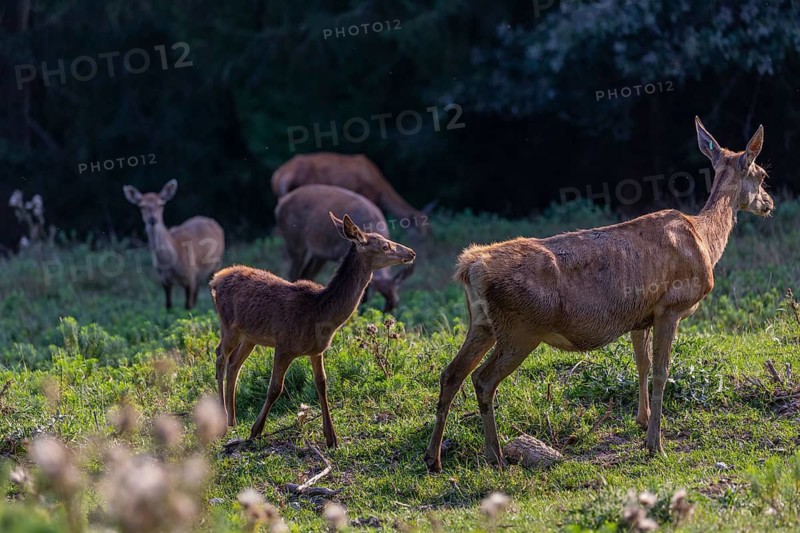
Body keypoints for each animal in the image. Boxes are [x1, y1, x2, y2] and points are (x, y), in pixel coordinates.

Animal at [123, 179, 225, 310]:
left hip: (217, 263)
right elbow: (168, 306)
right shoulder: (164, 280)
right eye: (142, 206)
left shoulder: (190, 274)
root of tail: (211, 220)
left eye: (161, 204)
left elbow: (187, 306)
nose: (152, 219)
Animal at [210, 214, 415, 448]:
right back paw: (223, 422)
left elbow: (322, 385)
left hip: (249, 336)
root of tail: (215, 279)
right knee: (220, 356)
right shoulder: (284, 345)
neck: (320, 315)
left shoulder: (317, 350)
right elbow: (275, 388)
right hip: (228, 325)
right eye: (384, 245)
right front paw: (256, 430)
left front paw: (331, 437)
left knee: (234, 364)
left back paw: (232, 420)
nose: (411, 253)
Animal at [276, 184, 414, 312]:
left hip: (319, 254)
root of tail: (280, 204)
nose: (412, 252)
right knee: (294, 271)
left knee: (307, 272)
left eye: (395, 303)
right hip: (295, 241)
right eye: (385, 247)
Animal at [423, 117, 774, 472]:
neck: (706, 240)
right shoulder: (670, 307)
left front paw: (642, 420)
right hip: (520, 328)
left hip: (482, 323)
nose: (769, 204)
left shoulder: (641, 316)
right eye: (762, 175)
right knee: (482, 379)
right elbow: (661, 372)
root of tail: (471, 266)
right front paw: (655, 445)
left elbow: (642, 364)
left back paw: (433, 457)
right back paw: (495, 456)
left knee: (451, 373)